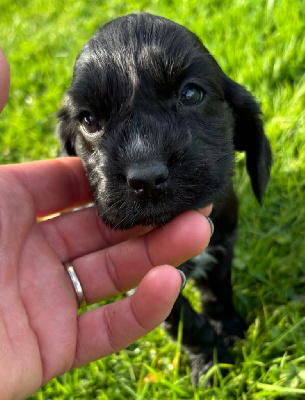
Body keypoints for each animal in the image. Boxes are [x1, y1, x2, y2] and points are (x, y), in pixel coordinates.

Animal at [57, 11, 270, 382]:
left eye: (191, 94)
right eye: (88, 119)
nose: (147, 178)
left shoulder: (222, 242)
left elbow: (218, 291)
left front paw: (228, 328)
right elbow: (184, 321)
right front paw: (212, 362)